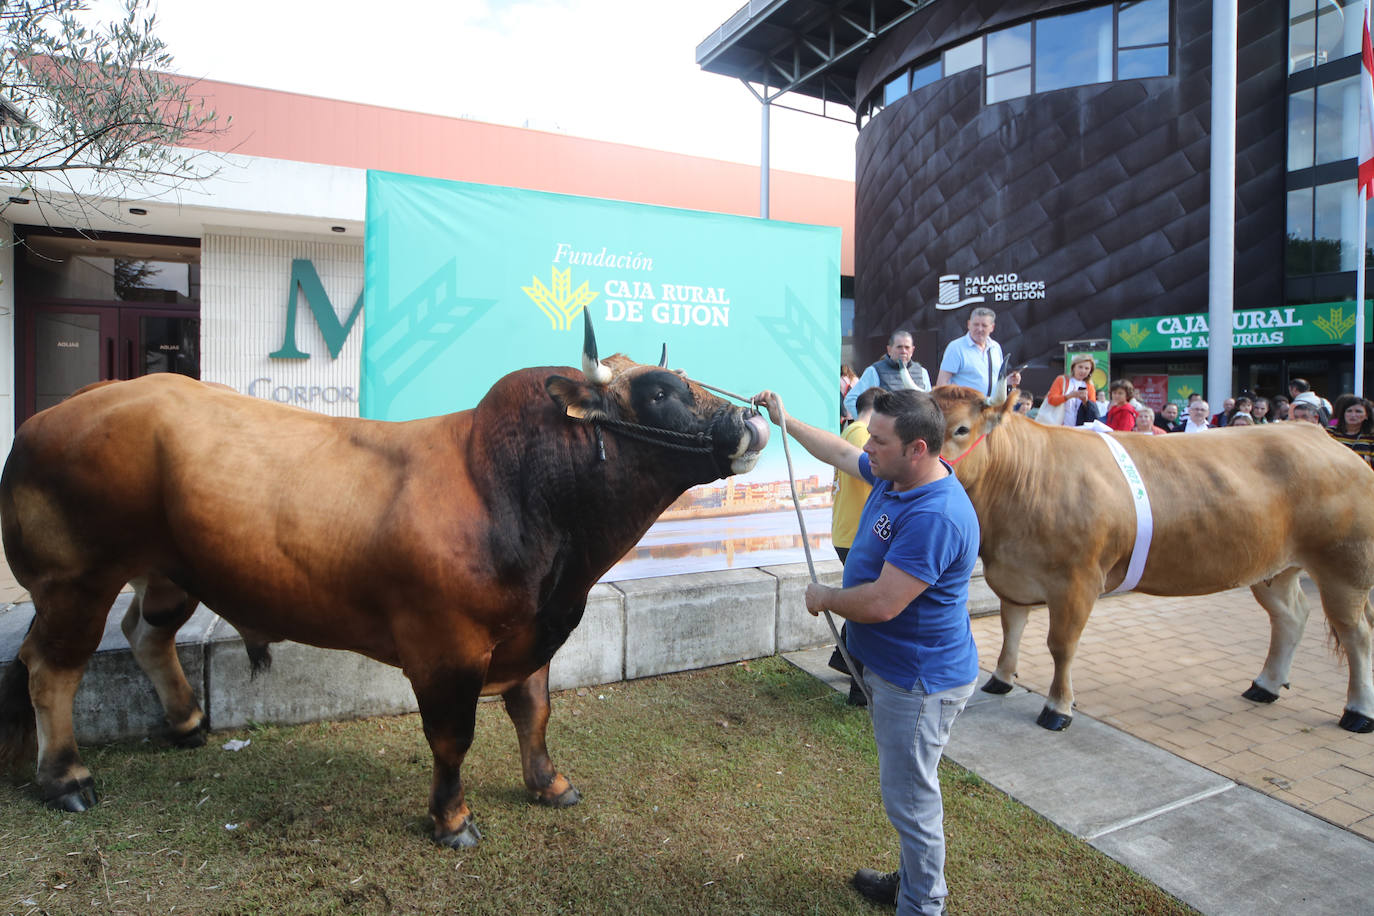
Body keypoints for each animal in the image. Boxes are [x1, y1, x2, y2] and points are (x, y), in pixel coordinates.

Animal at [928, 384, 1374, 736]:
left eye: (961, 429)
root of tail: (1319, 436)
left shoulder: (1077, 581)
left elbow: (1061, 645)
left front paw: (1058, 708)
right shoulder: (1014, 576)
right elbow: (1012, 628)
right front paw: (1001, 679)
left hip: (1345, 567)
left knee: (1358, 635)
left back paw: (1358, 712)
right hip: (1274, 568)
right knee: (1290, 616)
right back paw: (1265, 685)